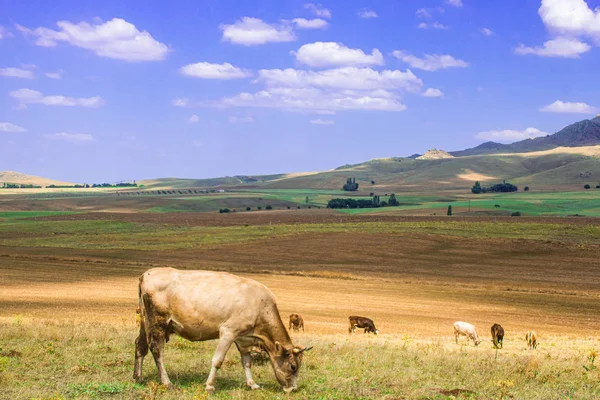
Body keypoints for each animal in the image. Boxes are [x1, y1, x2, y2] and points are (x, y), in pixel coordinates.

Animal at [131, 268, 310, 394]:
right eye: (293, 366)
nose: (293, 389)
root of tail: (146, 274)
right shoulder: (228, 331)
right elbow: (217, 360)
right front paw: (209, 386)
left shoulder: (243, 339)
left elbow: (247, 361)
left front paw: (252, 384)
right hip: (158, 322)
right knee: (156, 350)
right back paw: (167, 382)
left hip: (144, 322)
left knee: (140, 346)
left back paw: (138, 377)